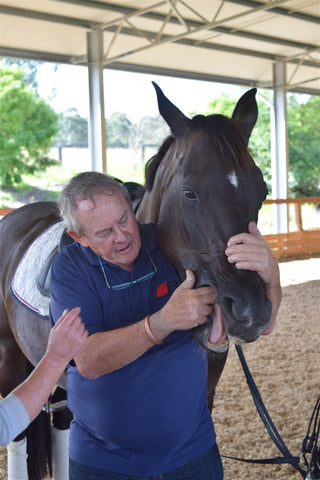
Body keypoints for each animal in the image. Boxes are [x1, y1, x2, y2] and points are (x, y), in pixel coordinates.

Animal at [0, 82, 270, 476]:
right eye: (189, 192)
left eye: (262, 191)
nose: (250, 310)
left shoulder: (205, 399)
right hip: (10, 364)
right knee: (18, 436)